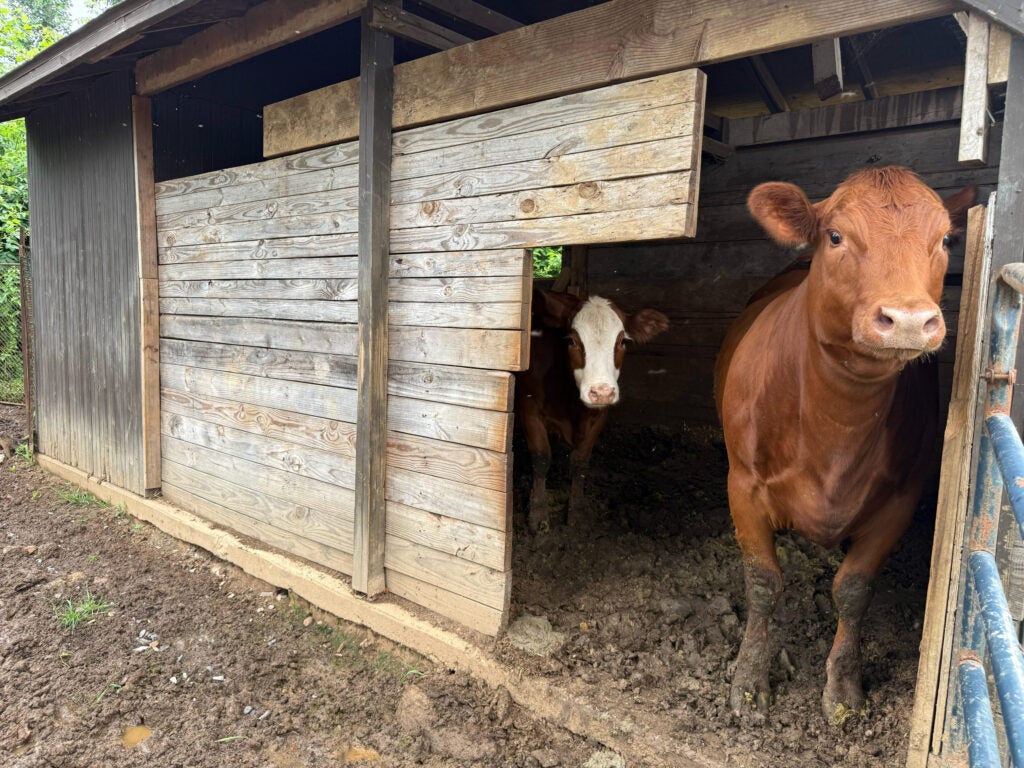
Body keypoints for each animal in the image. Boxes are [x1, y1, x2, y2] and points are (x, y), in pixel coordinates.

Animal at [516, 288, 669, 532]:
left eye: (623, 341)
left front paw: (577, 512)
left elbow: (580, 461)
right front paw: (538, 514)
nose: (601, 391)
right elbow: (541, 459)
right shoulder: (529, 408)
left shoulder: (599, 415)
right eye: (571, 340)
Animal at [714, 167, 975, 721]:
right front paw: (747, 681)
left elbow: (853, 591)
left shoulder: (900, 499)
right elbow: (763, 582)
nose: (908, 320)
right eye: (835, 236)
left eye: (945, 239)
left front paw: (843, 688)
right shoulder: (742, 484)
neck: (836, 427)